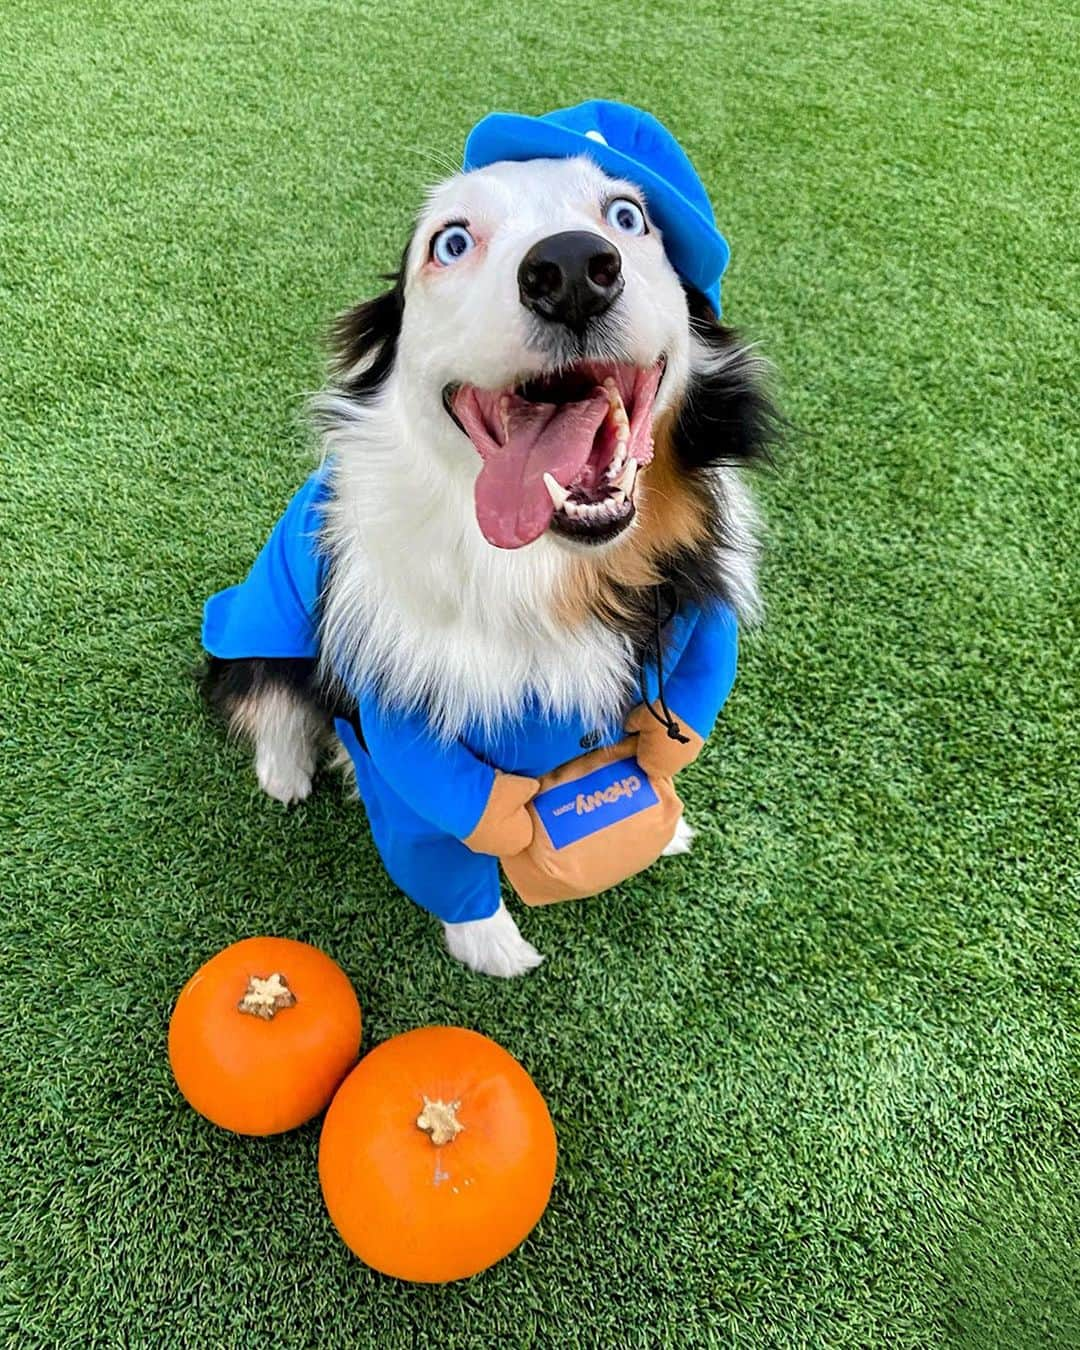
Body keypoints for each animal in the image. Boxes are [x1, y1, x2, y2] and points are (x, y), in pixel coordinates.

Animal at [202, 102, 777, 972]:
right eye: (450, 241)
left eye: (627, 217)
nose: (570, 269)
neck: (550, 577)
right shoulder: (404, 726)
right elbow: (445, 841)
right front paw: (493, 947)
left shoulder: (684, 658)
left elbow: (655, 748)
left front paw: (667, 823)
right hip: (263, 623)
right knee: (266, 695)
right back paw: (287, 769)